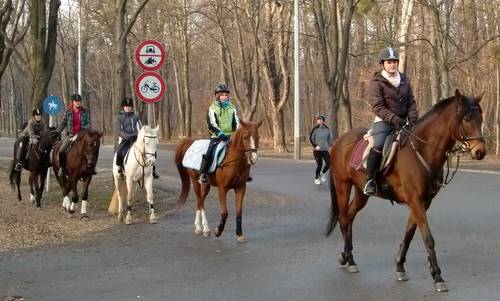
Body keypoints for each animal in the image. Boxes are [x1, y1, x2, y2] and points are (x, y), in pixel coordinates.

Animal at [326, 89, 486, 290]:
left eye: (480, 118)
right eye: (466, 119)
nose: (480, 151)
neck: (422, 150)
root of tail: (339, 141)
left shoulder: (423, 202)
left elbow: (409, 233)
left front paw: (400, 267)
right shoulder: (415, 200)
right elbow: (428, 238)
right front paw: (438, 277)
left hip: (361, 193)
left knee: (349, 217)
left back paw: (347, 257)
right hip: (342, 185)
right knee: (343, 218)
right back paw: (349, 259)